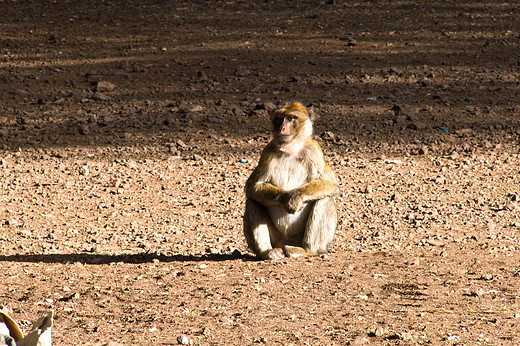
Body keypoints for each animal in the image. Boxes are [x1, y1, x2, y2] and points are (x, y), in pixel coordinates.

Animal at [245, 102, 342, 260]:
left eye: (291, 118)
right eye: (279, 119)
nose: (282, 128)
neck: (291, 149)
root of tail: (286, 240)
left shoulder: (314, 150)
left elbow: (330, 184)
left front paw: (295, 197)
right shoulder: (267, 152)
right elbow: (253, 186)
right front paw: (286, 198)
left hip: (299, 238)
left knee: (324, 199)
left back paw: (308, 250)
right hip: (277, 238)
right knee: (253, 201)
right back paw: (266, 251)